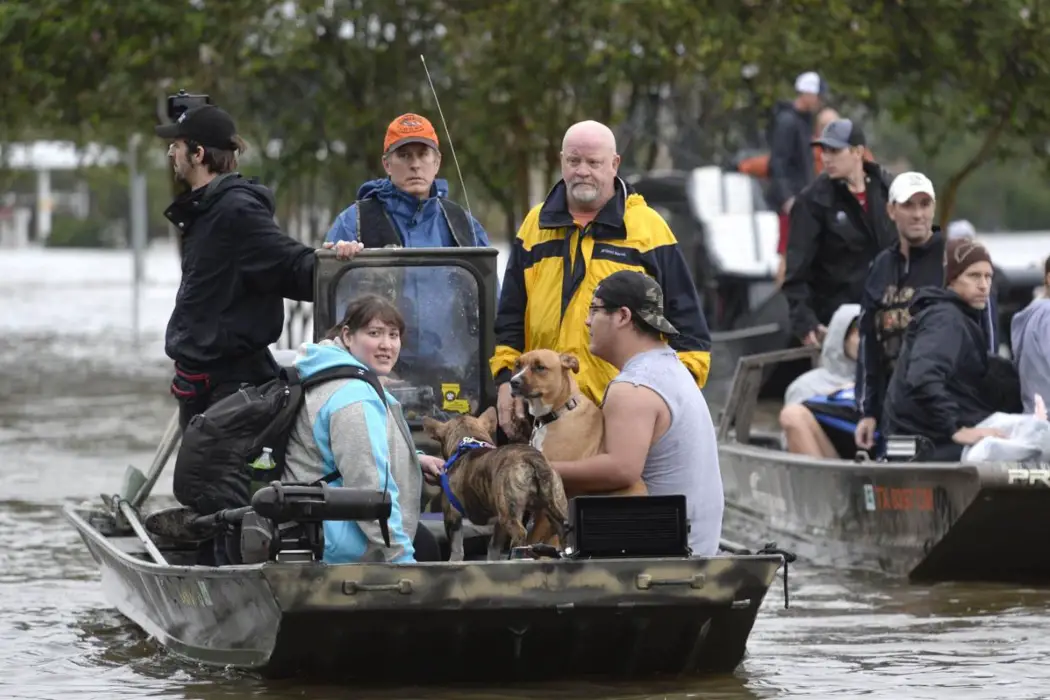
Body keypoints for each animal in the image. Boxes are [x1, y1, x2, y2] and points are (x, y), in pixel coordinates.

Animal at [419, 407, 571, 562]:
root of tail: (532, 458)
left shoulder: (452, 516)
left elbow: (457, 547)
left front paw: (454, 561)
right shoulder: (498, 524)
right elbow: (494, 547)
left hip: (509, 512)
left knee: (520, 533)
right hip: (555, 503)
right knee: (563, 528)